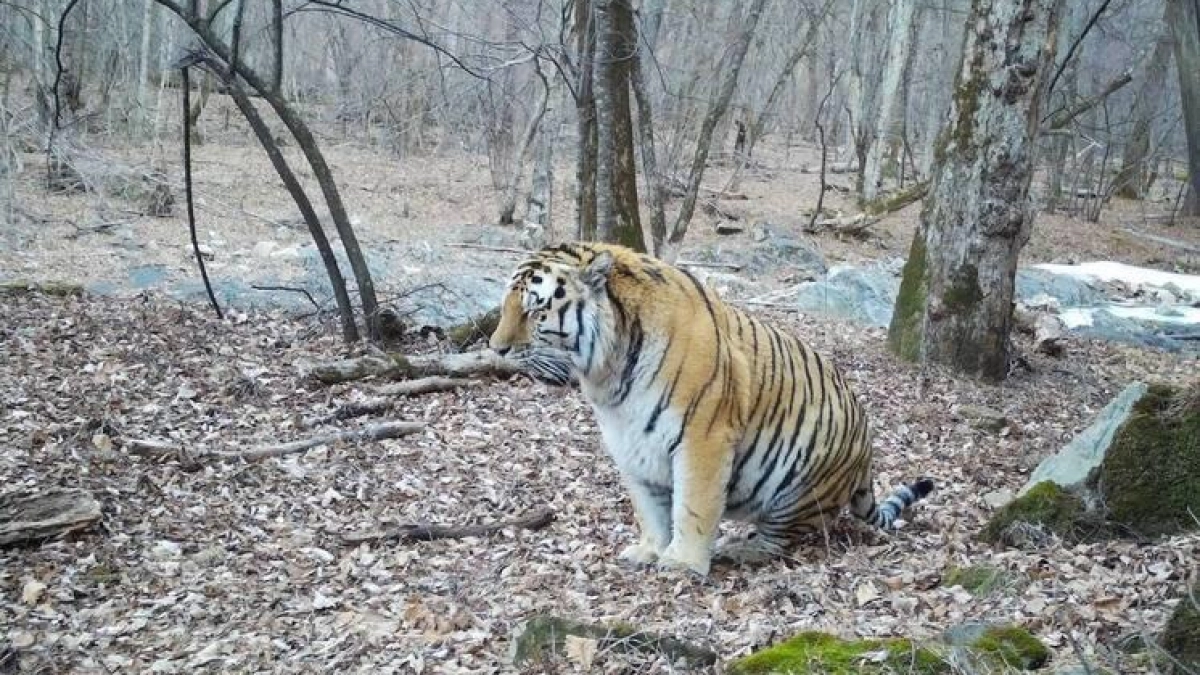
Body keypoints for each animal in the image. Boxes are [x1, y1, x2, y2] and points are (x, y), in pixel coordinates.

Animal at [488, 241, 934, 575]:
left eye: (534, 309)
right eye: (506, 305)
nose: (496, 348)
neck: (607, 373)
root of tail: (867, 457)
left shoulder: (703, 438)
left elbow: (694, 506)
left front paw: (683, 563)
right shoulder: (629, 443)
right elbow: (648, 507)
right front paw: (650, 550)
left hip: (795, 486)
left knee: (785, 539)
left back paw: (739, 548)